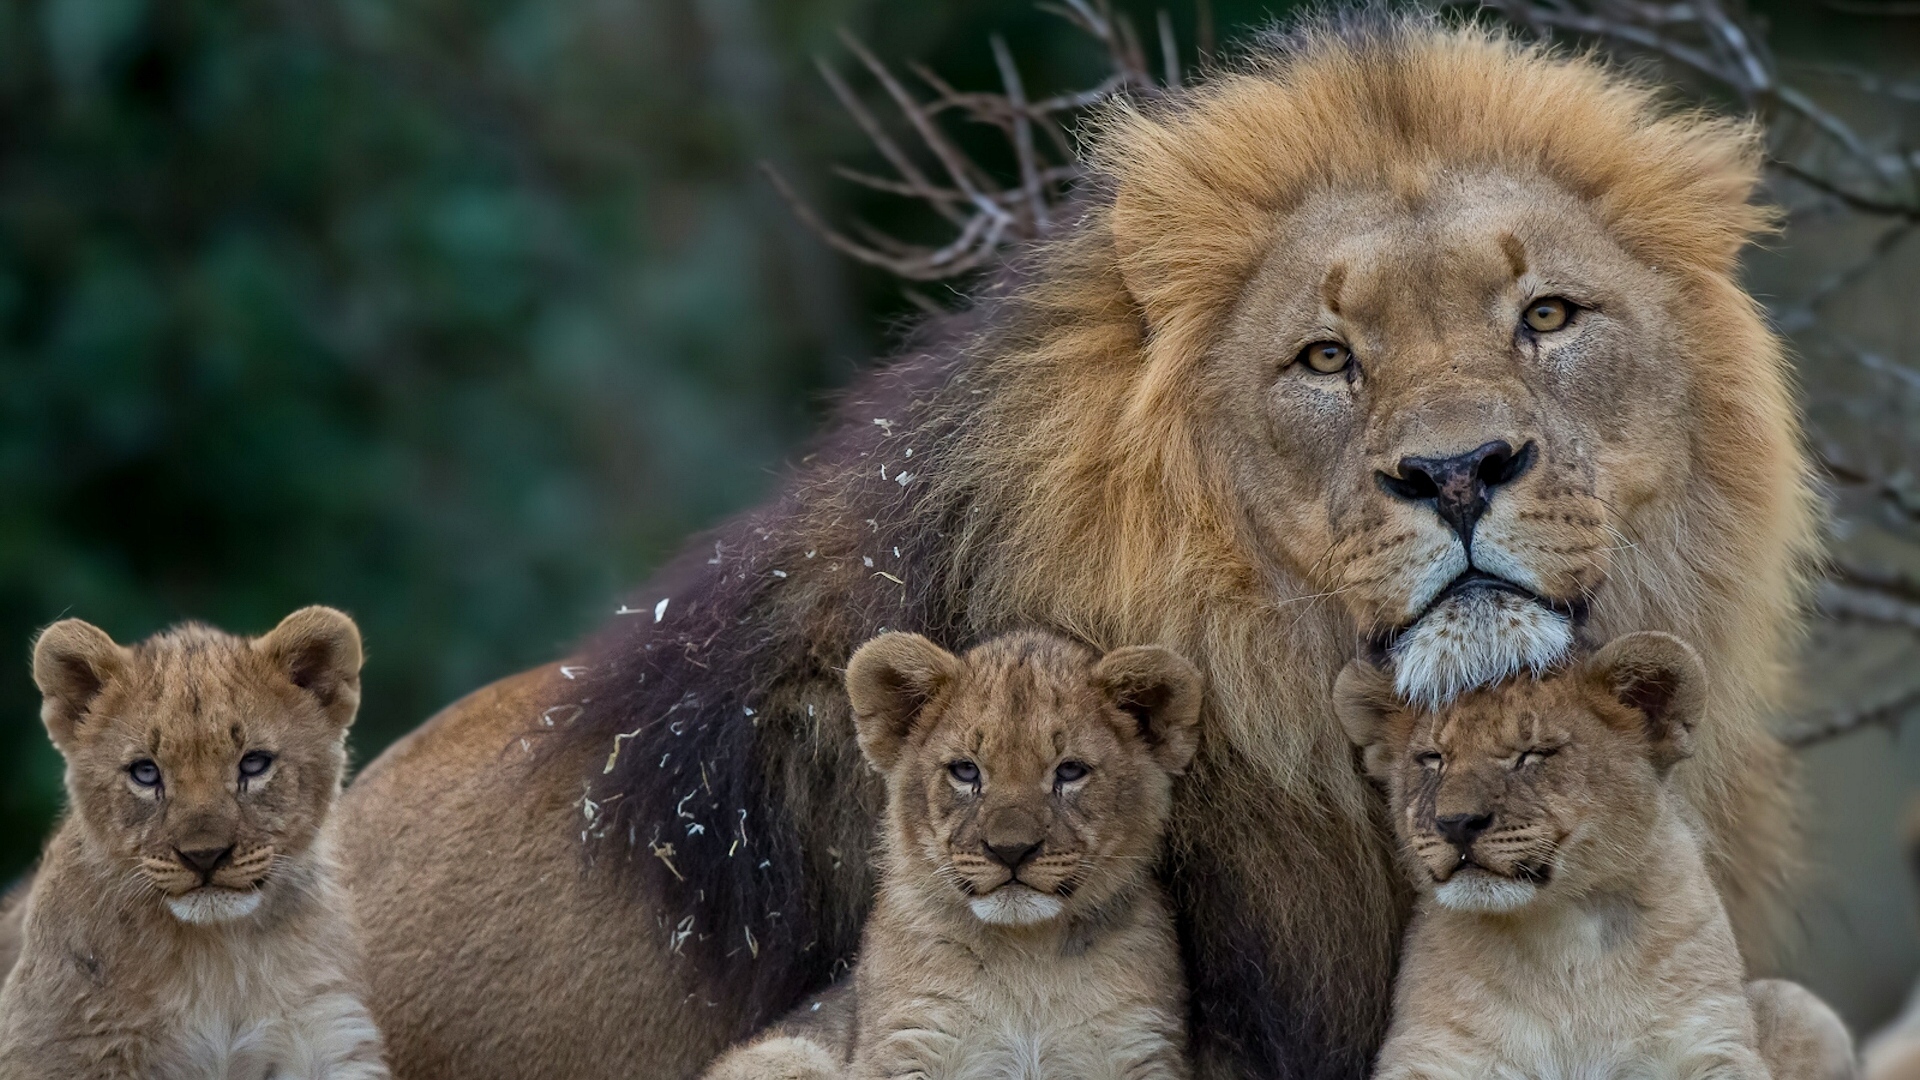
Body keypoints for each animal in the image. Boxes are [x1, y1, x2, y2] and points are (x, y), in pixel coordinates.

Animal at [0, 609, 389, 1079]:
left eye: (254, 763)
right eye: (145, 772)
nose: (205, 856)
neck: (216, 956)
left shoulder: (325, 1027)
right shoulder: (60, 1049)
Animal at [702, 630, 1197, 1080]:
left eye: (1070, 771)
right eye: (965, 771)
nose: (1011, 850)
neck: (1028, 957)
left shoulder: (1139, 1045)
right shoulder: (907, 1041)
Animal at [1337, 634, 1853, 1080]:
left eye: (1534, 754)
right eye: (1432, 759)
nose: (1457, 823)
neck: (1563, 935)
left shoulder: (1709, 1041)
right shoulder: (1433, 1055)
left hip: (1799, 1006)